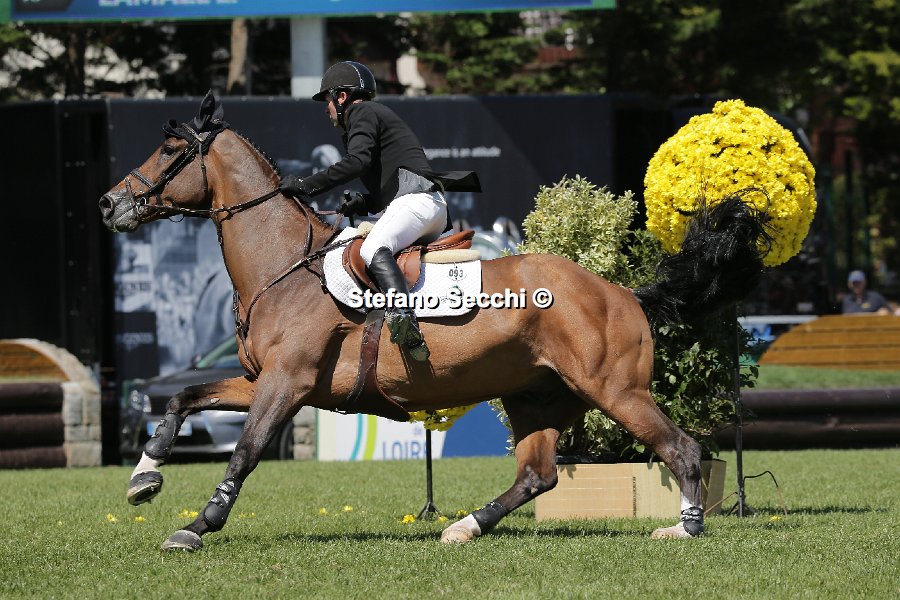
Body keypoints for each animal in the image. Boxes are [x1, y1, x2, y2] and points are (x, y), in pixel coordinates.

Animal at [99, 94, 768, 552]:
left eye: (169, 152)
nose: (109, 203)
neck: (283, 265)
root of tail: (622, 292)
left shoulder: (287, 384)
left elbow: (244, 452)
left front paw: (197, 525)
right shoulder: (264, 380)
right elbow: (183, 397)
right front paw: (144, 476)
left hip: (615, 390)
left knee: (682, 448)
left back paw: (684, 528)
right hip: (536, 395)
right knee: (538, 475)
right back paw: (465, 527)